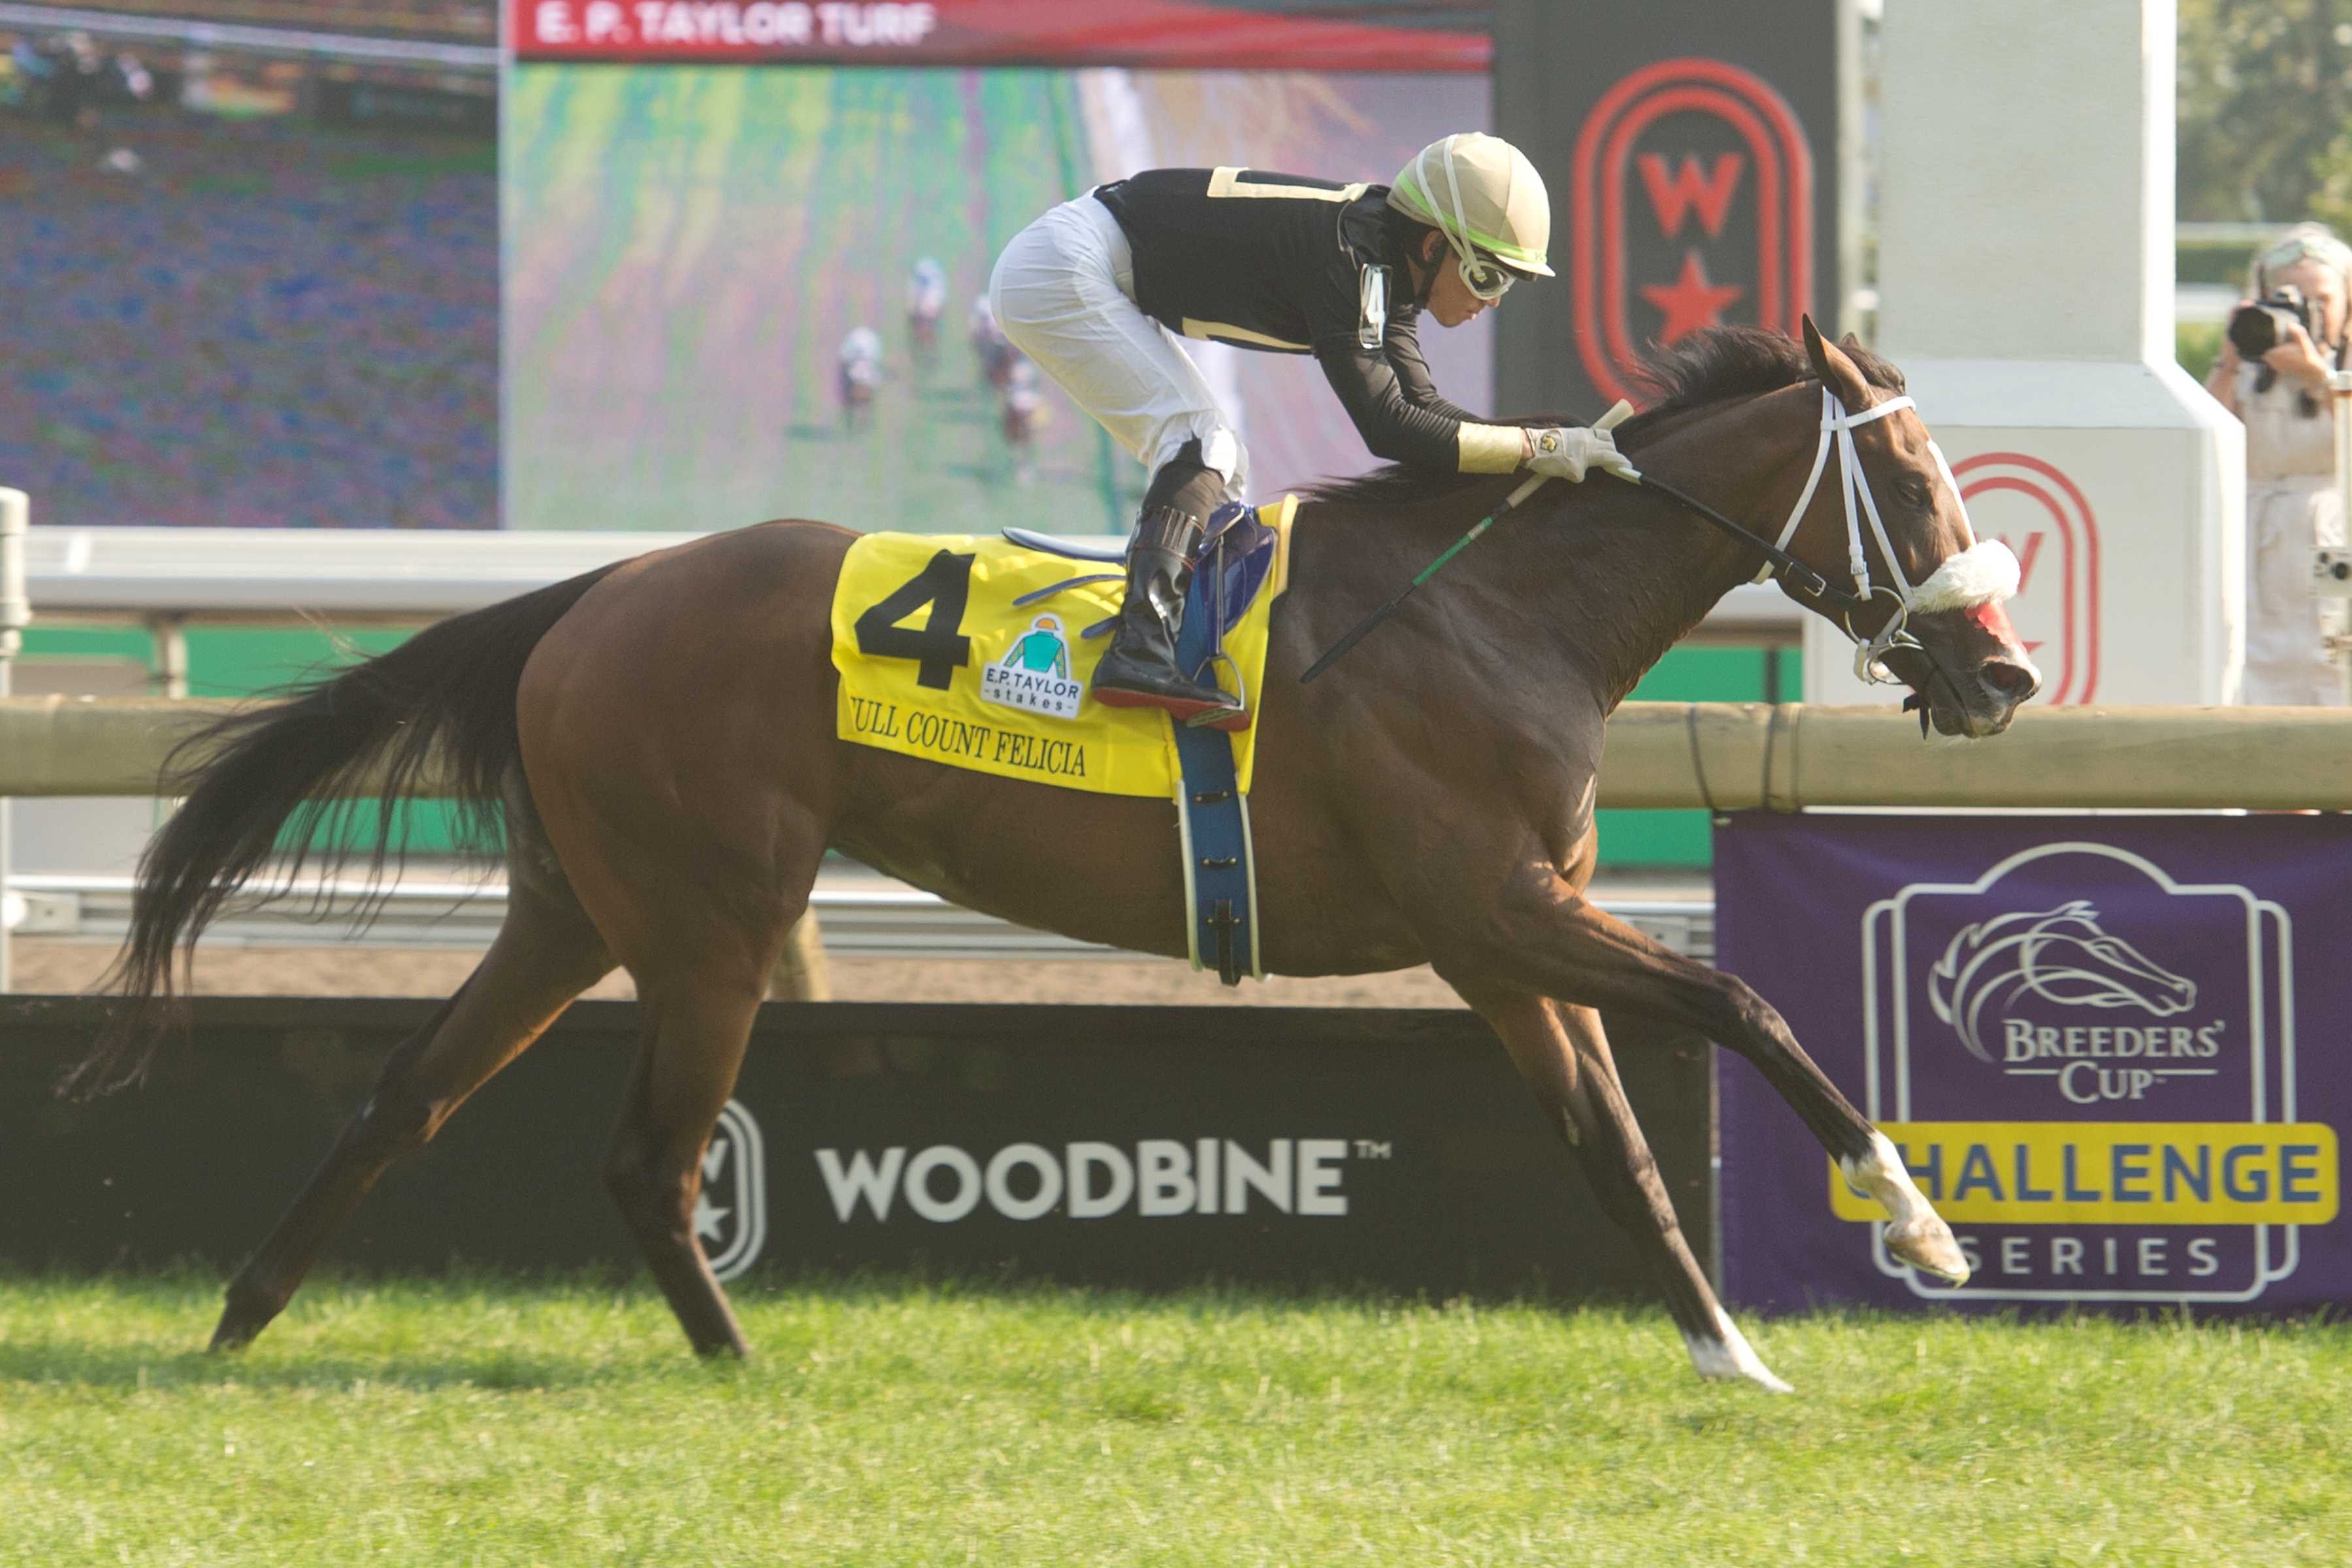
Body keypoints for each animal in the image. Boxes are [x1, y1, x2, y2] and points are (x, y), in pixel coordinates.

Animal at [59, 315, 2041, 1382]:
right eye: (1913, 481)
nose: (2007, 673)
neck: (1492, 612)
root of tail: (594, 592)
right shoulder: (1497, 906)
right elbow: (1742, 1006)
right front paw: (1921, 1225)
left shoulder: (1501, 938)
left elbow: (1621, 1147)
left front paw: (1735, 1349)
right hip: (711, 920)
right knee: (648, 1157)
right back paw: (736, 1358)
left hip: (573, 906)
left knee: (407, 1095)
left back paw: (237, 1321)